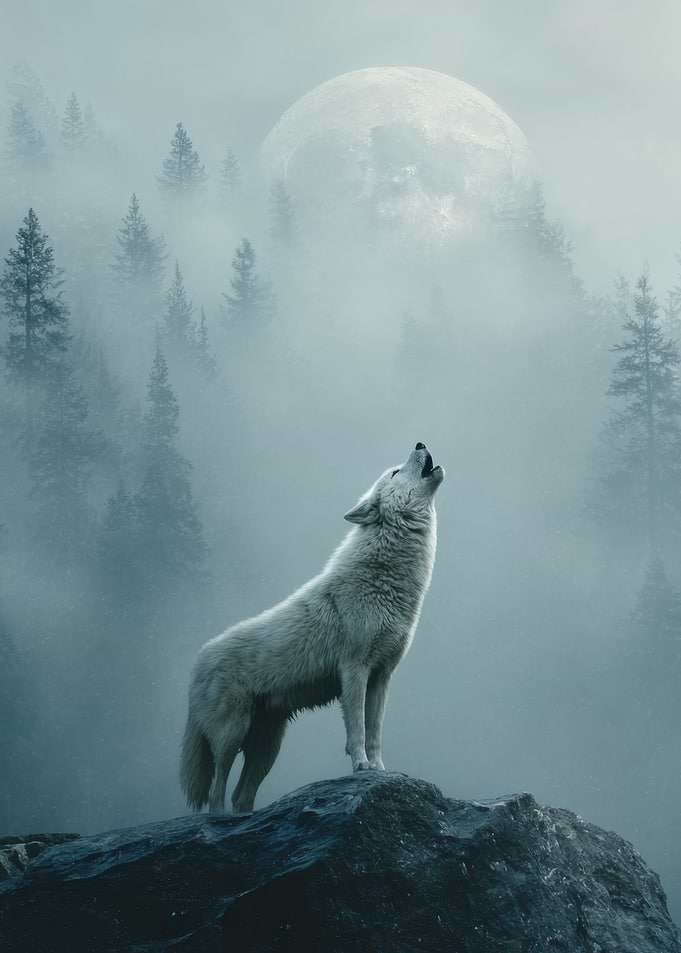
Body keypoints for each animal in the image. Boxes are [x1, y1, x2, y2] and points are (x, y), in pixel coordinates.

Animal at [180, 442, 444, 813]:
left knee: (240, 796)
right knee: (218, 792)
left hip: (267, 748)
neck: (387, 580)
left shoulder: (382, 676)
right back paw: (218, 821)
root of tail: (197, 661)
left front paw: (380, 770)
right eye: (394, 472)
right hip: (232, 735)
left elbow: (375, 732)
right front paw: (361, 767)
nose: (420, 443)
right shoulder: (354, 670)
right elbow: (357, 729)